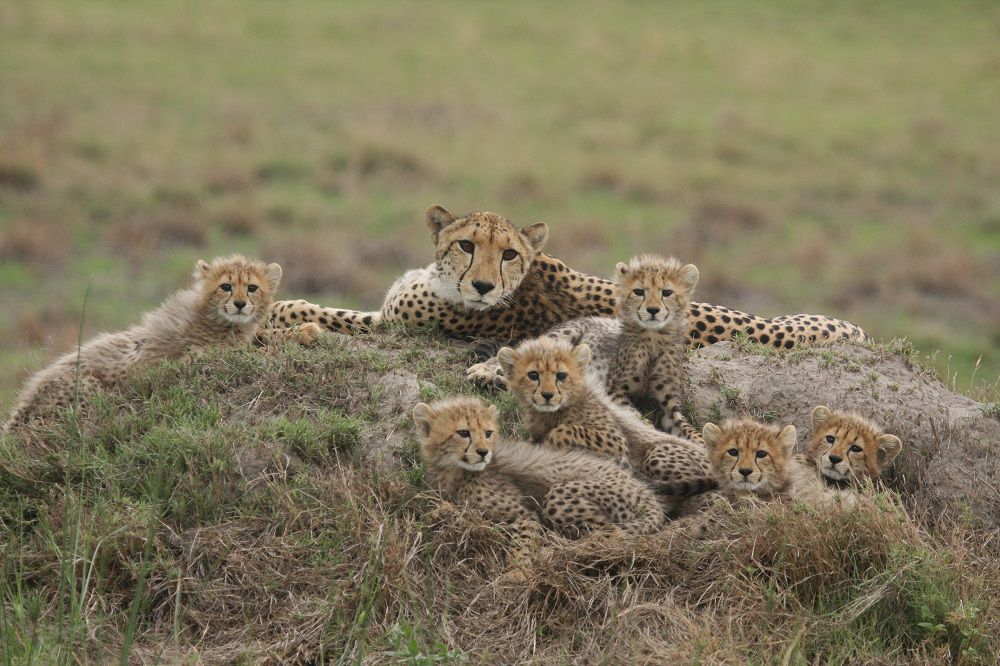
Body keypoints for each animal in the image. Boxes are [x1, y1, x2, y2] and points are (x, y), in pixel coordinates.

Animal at [5, 254, 320, 431]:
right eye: (226, 286)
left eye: (252, 287)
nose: (240, 304)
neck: (215, 318)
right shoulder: (198, 359)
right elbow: (254, 350)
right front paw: (303, 331)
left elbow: (260, 338)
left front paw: (301, 328)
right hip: (88, 389)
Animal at [413, 396, 666, 567]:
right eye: (463, 432)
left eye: (488, 433)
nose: (484, 452)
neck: (455, 470)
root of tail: (644, 491)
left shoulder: (523, 514)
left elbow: (522, 543)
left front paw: (516, 575)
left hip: (560, 496)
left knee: (609, 534)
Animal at [469, 253, 703, 442]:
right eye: (639, 291)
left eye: (667, 292)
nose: (652, 310)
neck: (654, 338)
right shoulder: (616, 391)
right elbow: (633, 414)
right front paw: (644, 428)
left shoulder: (669, 403)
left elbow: (687, 428)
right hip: (564, 335)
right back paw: (483, 372)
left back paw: (499, 380)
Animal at [496, 336, 716, 514]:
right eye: (533, 375)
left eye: (561, 375)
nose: (548, 395)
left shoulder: (615, 440)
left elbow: (564, 430)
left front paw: (552, 441)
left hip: (660, 452)